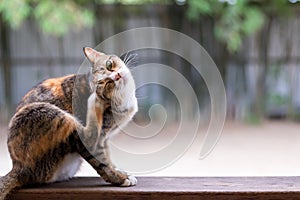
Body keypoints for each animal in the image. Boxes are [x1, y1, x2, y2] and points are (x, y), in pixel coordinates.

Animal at [0, 47, 138, 199]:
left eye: (109, 65)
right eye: (105, 83)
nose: (117, 76)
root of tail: (18, 168)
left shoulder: (105, 139)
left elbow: (107, 157)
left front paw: (118, 170)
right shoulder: (95, 141)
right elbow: (102, 162)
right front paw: (120, 178)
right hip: (48, 113)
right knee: (88, 135)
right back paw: (93, 103)